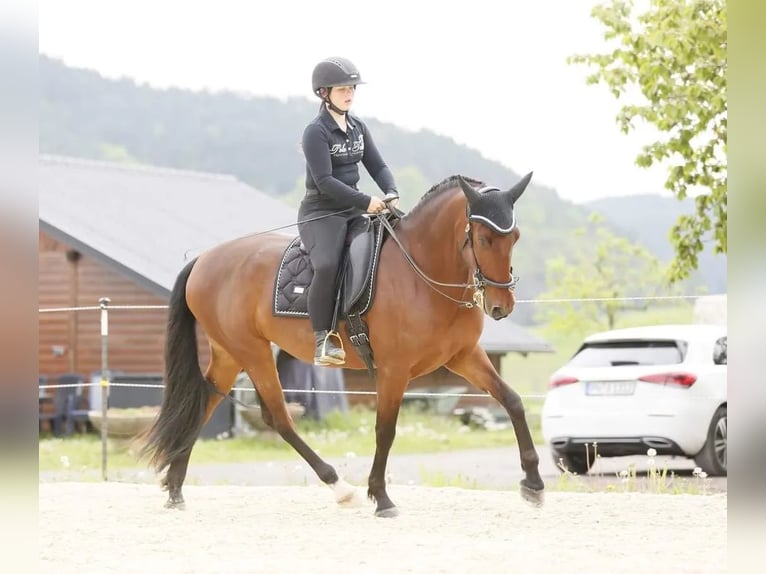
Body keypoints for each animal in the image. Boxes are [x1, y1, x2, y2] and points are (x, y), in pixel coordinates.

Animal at [138, 172, 544, 516]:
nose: (501, 306)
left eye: (516, 237)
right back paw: (341, 487)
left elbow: (512, 401)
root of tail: (204, 259)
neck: (422, 272)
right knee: (279, 418)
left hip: (228, 353)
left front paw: (534, 484)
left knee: (204, 403)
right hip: (252, 351)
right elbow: (386, 429)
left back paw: (175, 489)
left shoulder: (463, 356)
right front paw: (380, 497)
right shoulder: (394, 369)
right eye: (484, 238)